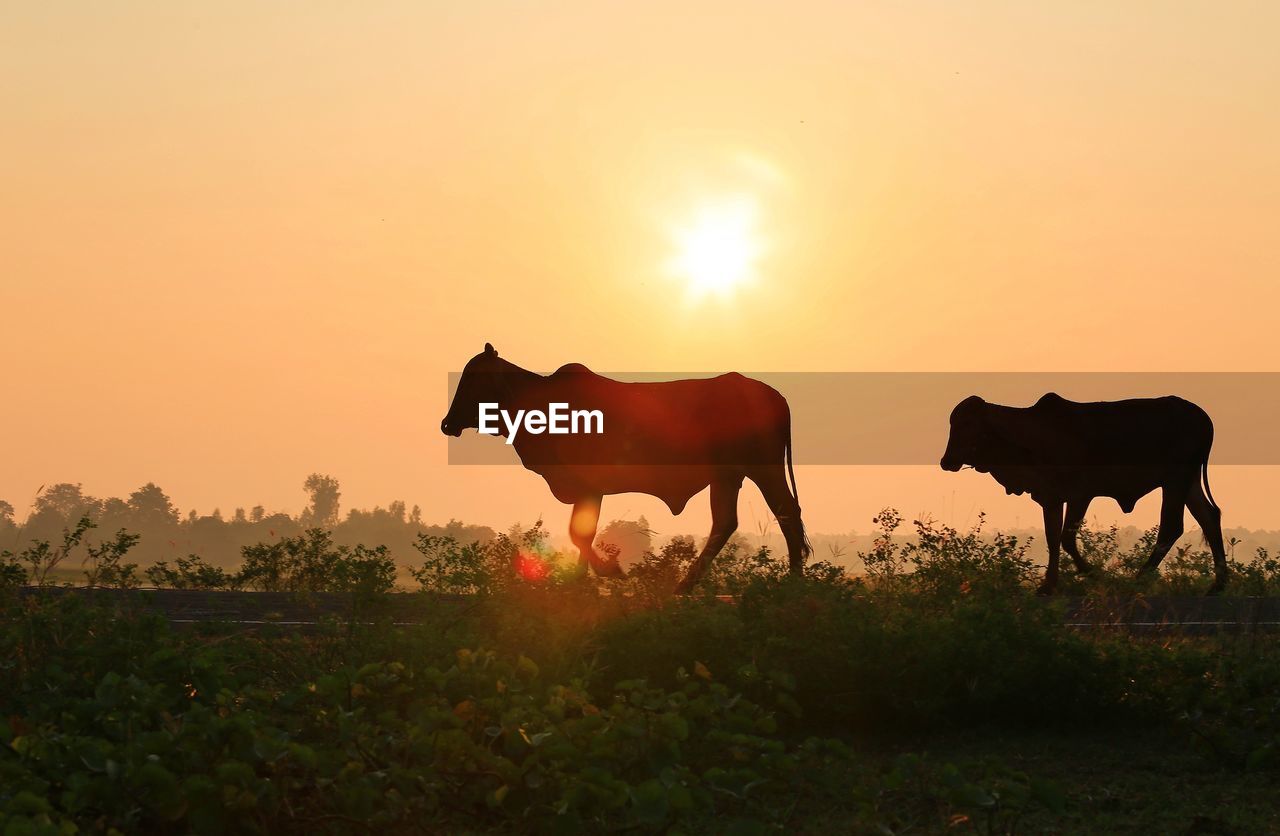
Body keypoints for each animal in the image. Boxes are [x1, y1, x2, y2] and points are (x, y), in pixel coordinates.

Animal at [440, 343, 808, 588]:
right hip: (728, 477)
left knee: (786, 513)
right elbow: (582, 534)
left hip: (761, 469)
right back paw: (687, 586)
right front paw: (578, 582)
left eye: (473, 379)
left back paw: (792, 581)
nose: (447, 423)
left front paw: (608, 571)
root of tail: (775, 397)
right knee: (727, 523)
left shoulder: (589, 487)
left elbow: (579, 534)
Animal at [942, 391, 1228, 594]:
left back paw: (1138, 580)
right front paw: (1048, 585)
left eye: (967, 424)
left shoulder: (1080, 494)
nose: (946, 461)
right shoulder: (1051, 497)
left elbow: (1066, 538)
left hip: (1175, 480)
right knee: (1209, 517)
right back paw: (1218, 584)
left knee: (1171, 526)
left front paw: (1095, 575)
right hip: (1187, 482)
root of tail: (1203, 418)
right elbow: (1052, 538)